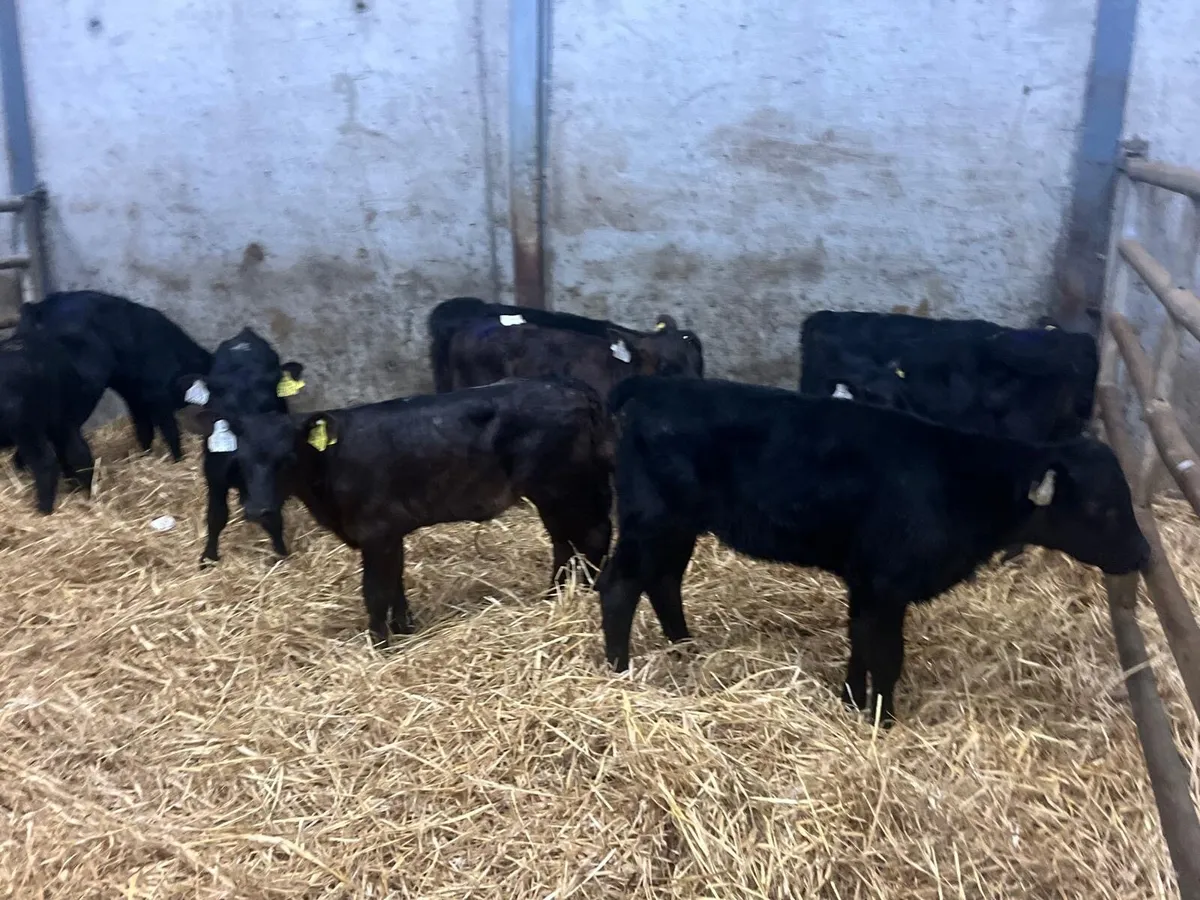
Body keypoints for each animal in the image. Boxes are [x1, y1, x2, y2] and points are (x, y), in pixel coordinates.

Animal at [0, 327, 100, 513]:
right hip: (62, 417)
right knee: (77, 451)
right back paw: (83, 488)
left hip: (26, 426)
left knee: (45, 462)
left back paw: (43, 508)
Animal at [19, 291, 213, 460]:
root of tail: (37, 310)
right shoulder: (157, 395)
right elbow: (169, 431)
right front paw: (178, 459)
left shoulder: (136, 399)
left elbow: (144, 430)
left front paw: (145, 456)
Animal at [177, 328, 306, 565]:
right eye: (220, 399)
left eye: (268, 396)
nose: (255, 510)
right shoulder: (214, 476)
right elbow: (216, 516)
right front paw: (208, 557)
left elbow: (274, 517)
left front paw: (281, 553)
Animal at [181, 378, 614, 644]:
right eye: (240, 460)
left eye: (287, 458)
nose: (258, 509)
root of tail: (572, 387)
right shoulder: (391, 533)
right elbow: (396, 584)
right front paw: (405, 629)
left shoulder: (376, 531)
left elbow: (375, 592)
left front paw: (381, 645)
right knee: (566, 544)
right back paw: (554, 597)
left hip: (563, 490)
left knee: (588, 539)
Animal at [596, 376, 1149, 726]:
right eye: (1102, 508)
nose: (1145, 554)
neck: (961, 483)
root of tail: (654, 386)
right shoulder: (887, 585)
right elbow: (886, 656)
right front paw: (883, 722)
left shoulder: (867, 583)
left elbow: (860, 643)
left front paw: (851, 703)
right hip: (654, 522)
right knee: (620, 585)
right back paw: (619, 670)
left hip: (677, 528)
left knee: (663, 582)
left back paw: (685, 649)